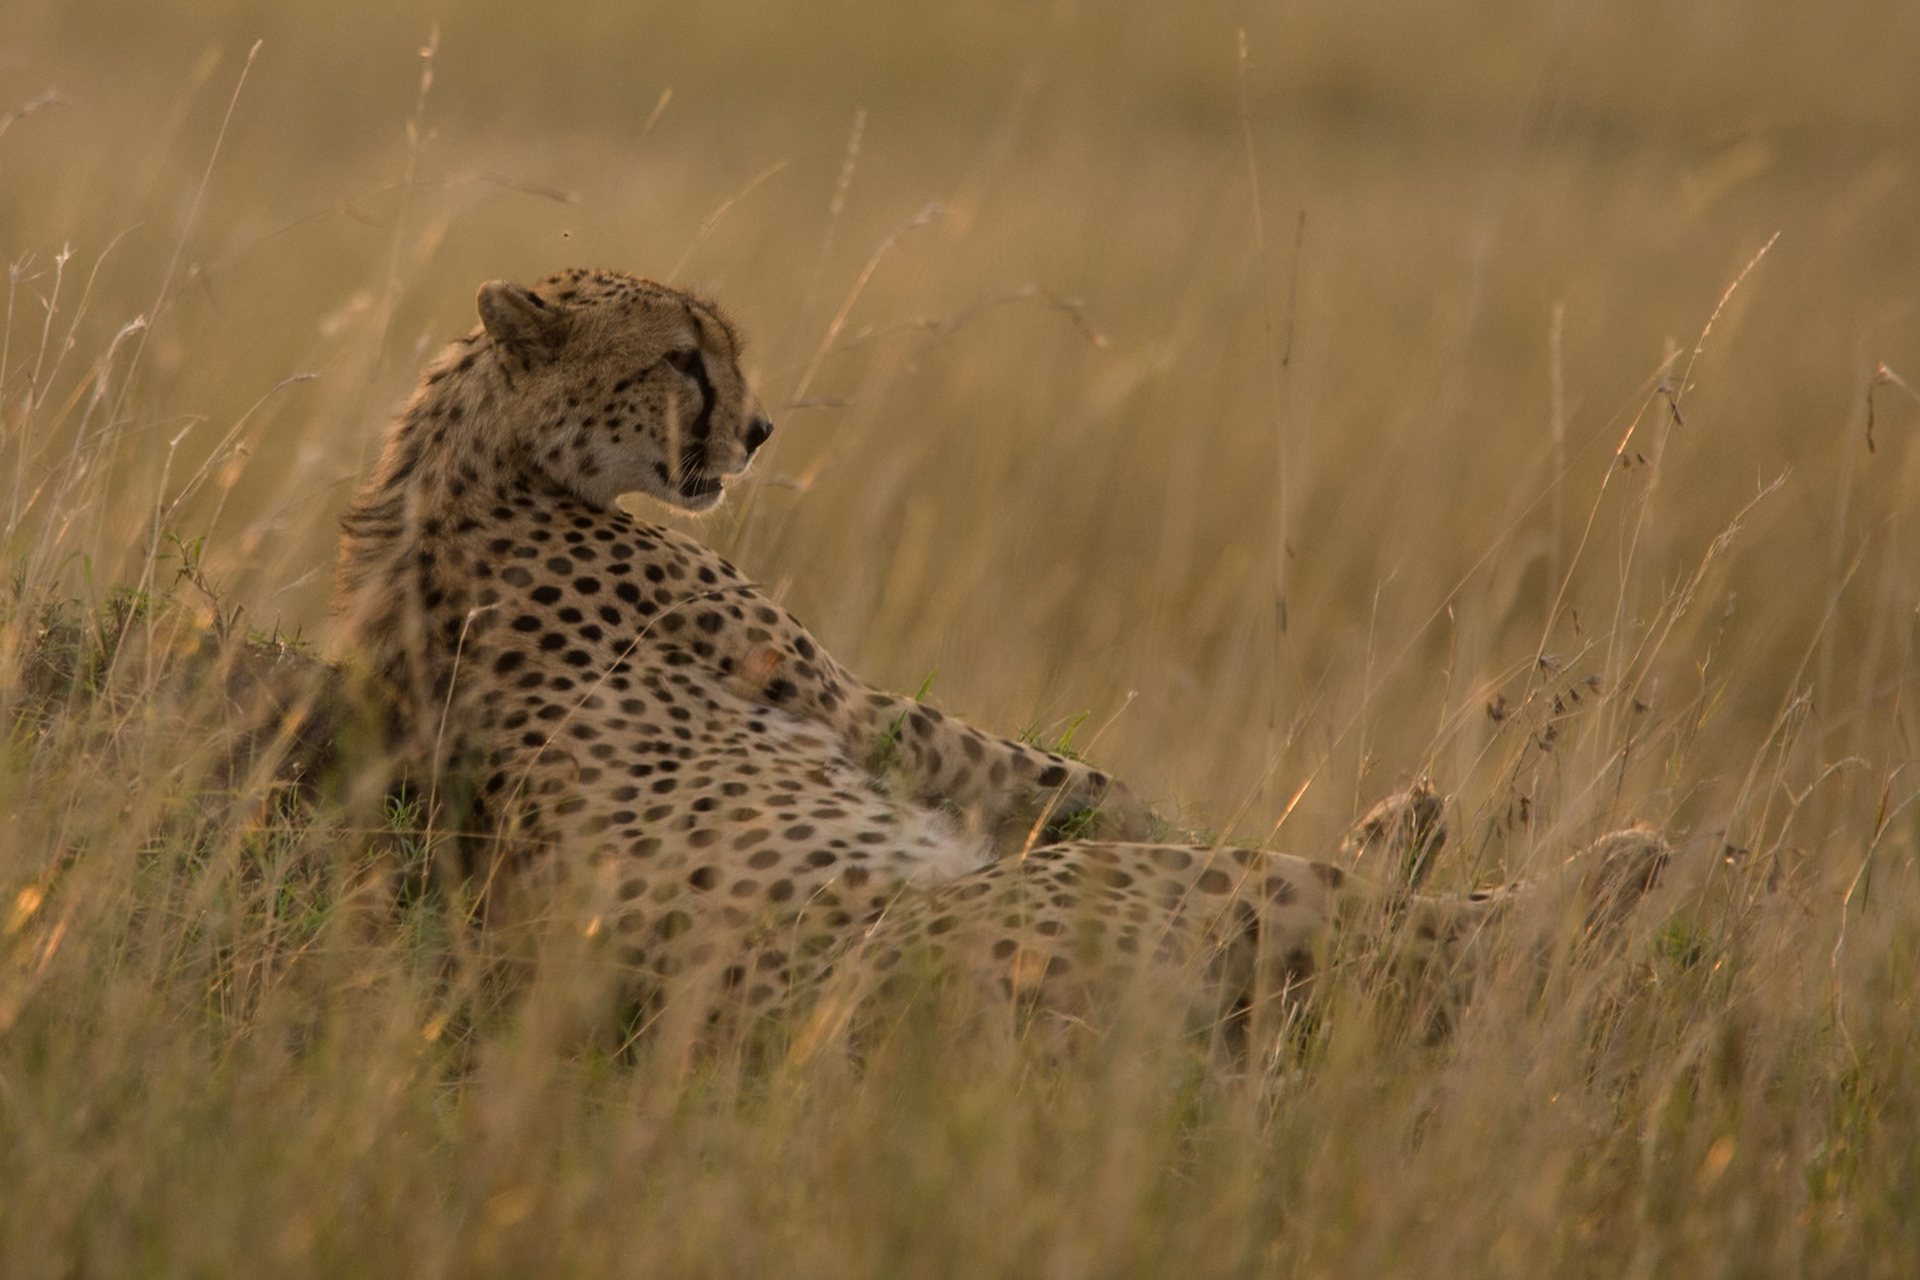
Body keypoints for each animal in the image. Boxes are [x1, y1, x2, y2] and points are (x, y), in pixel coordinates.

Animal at [334, 267, 1666, 1044]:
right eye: (680, 356)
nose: (758, 430)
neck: (471, 444)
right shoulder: (874, 713)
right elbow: (1097, 784)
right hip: (1183, 897)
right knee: (1435, 924)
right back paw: (1619, 858)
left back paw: (1431, 820)